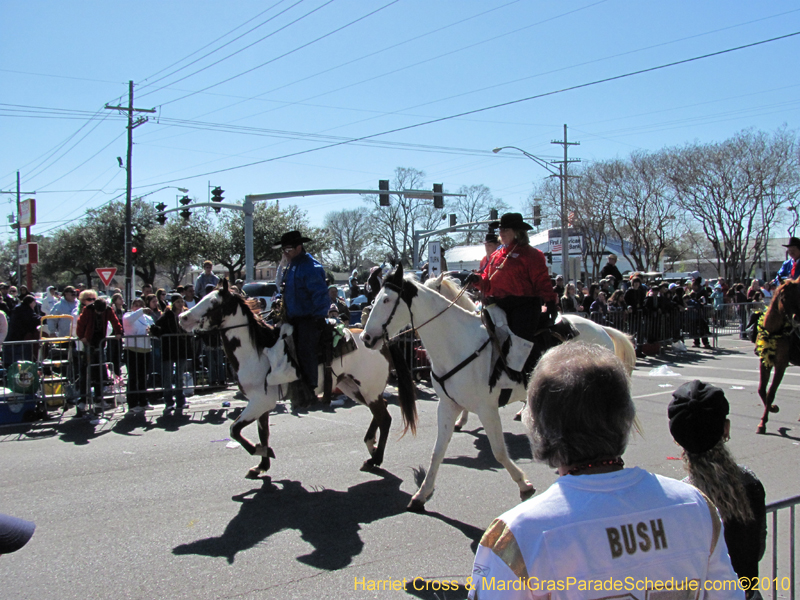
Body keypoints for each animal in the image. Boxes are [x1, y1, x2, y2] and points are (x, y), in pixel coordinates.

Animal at [180, 280, 418, 478]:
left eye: (212, 303)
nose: (183, 318)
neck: (257, 352)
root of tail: (382, 341)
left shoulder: (259, 401)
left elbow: (235, 430)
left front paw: (260, 451)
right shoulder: (261, 404)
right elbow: (262, 432)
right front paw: (262, 464)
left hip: (368, 389)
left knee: (384, 419)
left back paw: (375, 459)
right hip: (353, 387)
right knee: (380, 413)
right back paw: (371, 446)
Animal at [752, 278, 800, 434]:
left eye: (799, 295)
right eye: (784, 298)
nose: (798, 318)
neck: (773, 331)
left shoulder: (781, 364)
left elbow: (771, 392)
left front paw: (763, 423)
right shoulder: (764, 361)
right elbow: (762, 390)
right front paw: (772, 409)